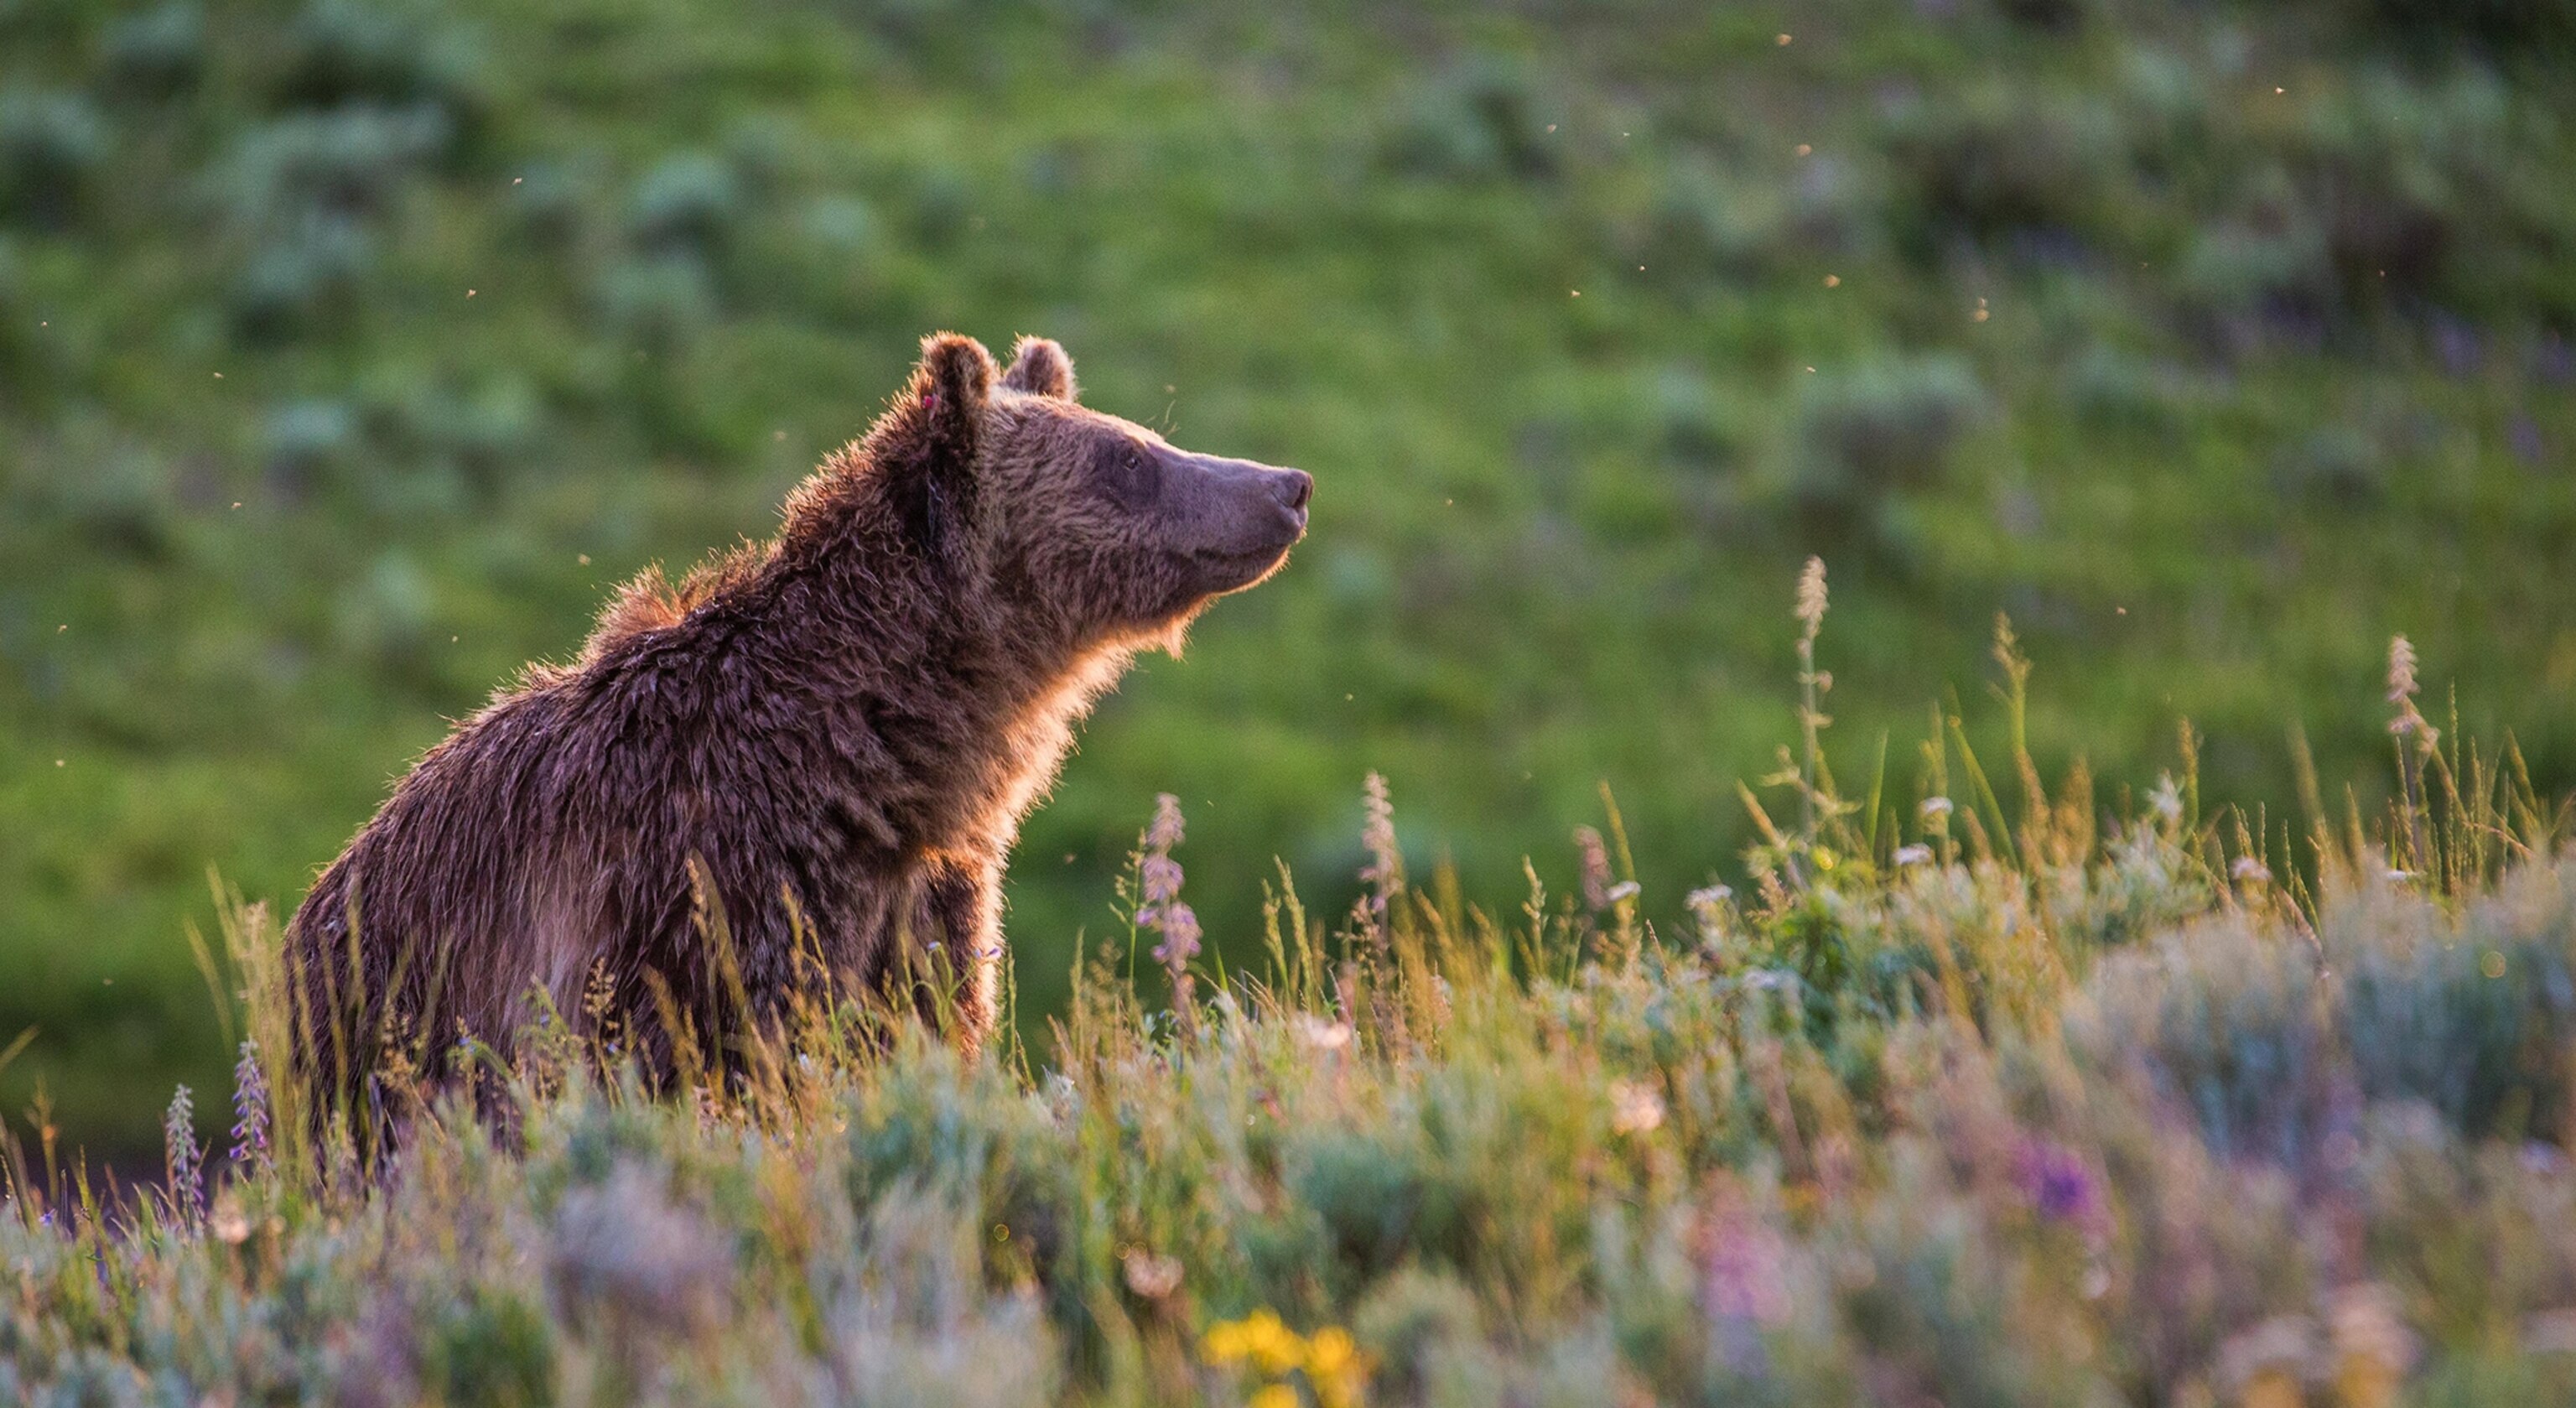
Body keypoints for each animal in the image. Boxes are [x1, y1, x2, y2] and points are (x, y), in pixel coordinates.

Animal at [284, 331, 1311, 1105]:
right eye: (1129, 457)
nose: (1286, 483)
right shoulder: (710, 886)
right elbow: (716, 1054)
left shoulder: (922, 898)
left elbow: (928, 1018)